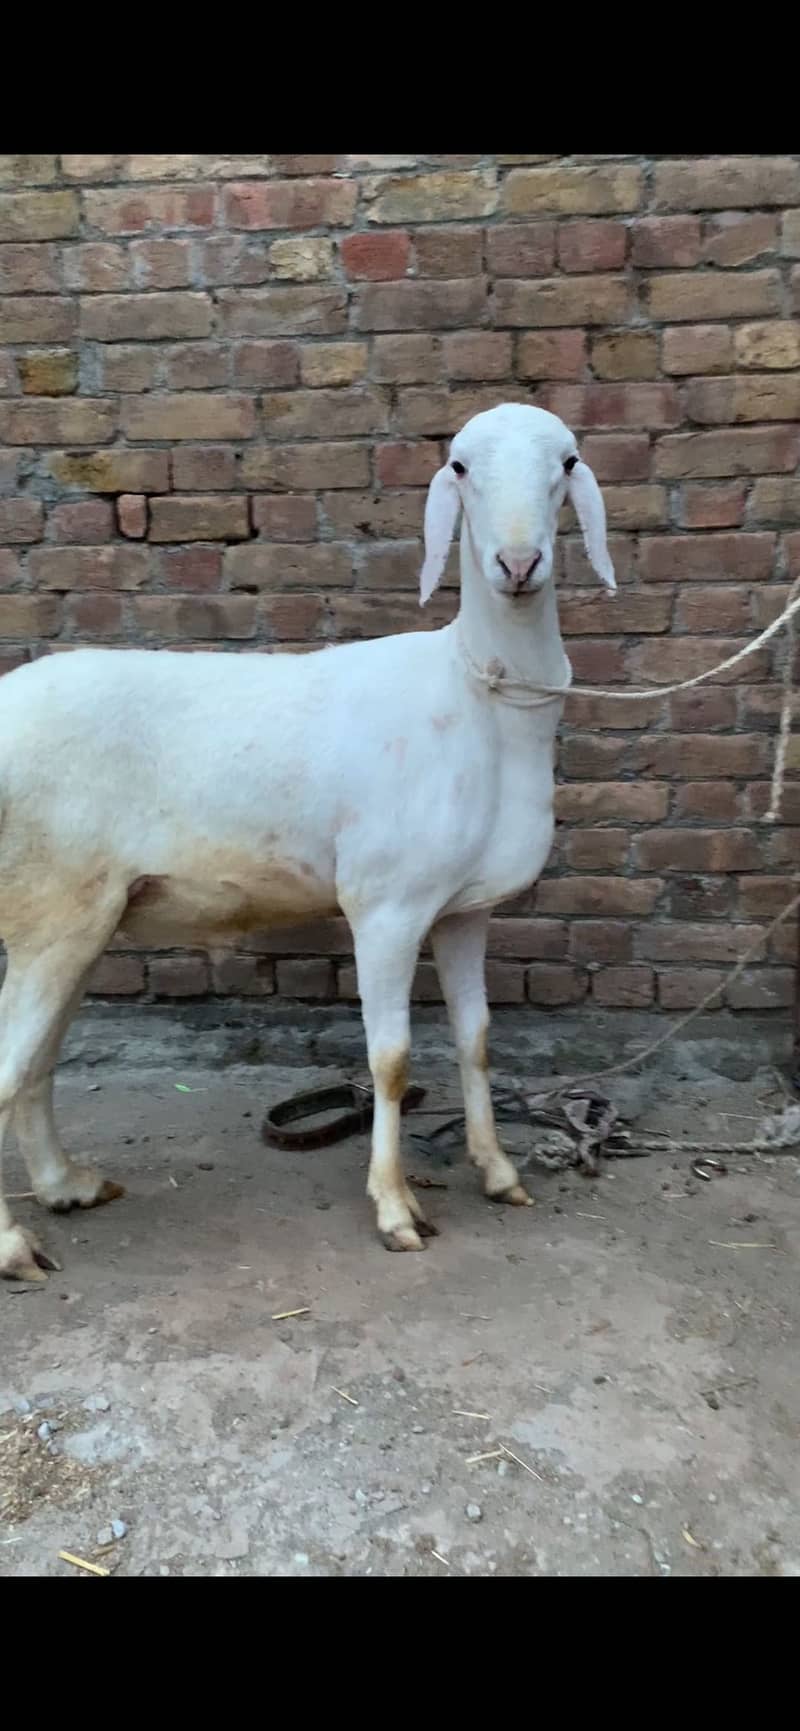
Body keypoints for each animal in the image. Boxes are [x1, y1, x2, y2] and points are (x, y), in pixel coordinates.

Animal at [0, 402, 614, 1279]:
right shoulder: (385, 905)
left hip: (82, 917)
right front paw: (395, 1208)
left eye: (566, 462)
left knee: (38, 1062)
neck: (478, 695)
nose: (518, 562)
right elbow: (390, 1061)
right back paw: (15, 1245)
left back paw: (67, 1185)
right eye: (460, 467)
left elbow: (477, 1040)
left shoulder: (464, 911)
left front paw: (497, 1171)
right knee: (12, 1064)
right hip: (50, 906)